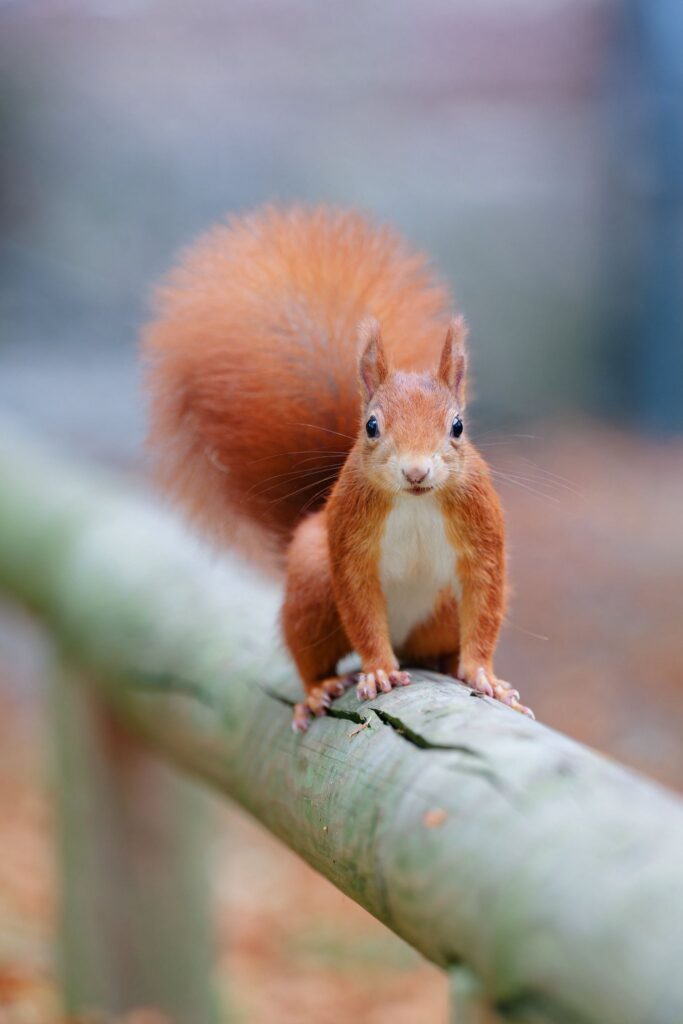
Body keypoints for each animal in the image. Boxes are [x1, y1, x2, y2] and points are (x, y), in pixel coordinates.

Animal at [142, 204, 534, 730]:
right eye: (371, 425)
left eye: (457, 426)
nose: (415, 473)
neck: (415, 503)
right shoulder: (348, 540)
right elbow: (361, 608)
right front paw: (379, 671)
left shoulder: (480, 530)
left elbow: (485, 600)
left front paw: (484, 676)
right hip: (311, 580)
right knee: (312, 653)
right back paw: (320, 688)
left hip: (440, 613)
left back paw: (447, 664)